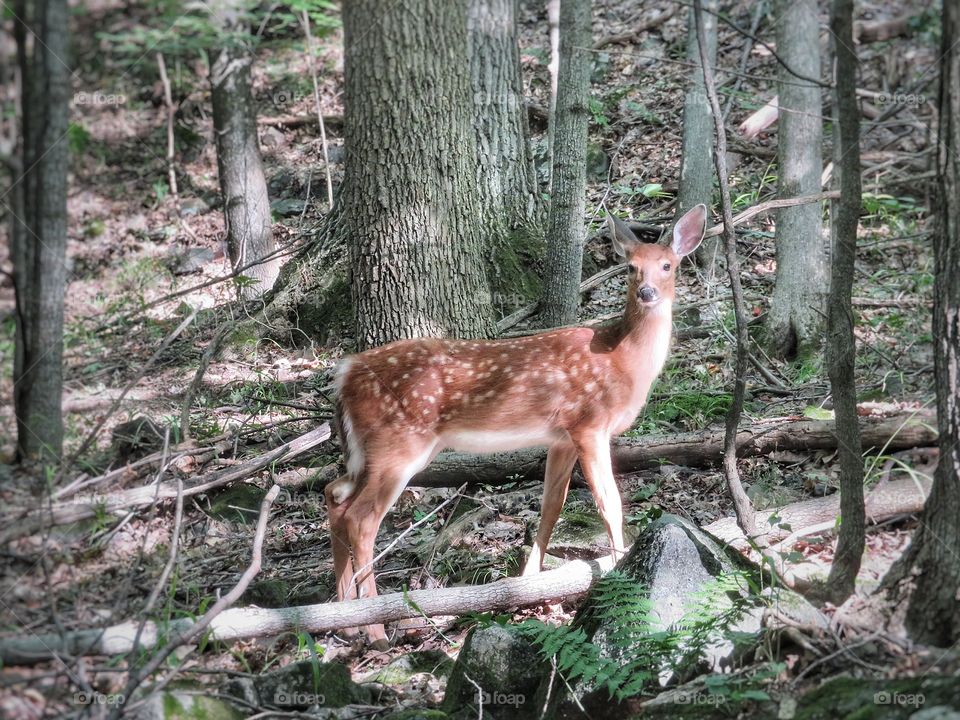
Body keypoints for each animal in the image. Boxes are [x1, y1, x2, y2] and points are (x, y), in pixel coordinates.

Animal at [326, 201, 708, 648]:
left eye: (667, 265)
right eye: (630, 267)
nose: (647, 292)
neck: (623, 360)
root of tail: (345, 373)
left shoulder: (561, 437)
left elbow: (551, 506)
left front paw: (528, 584)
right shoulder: (589, 423)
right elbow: (608, 501)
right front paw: (618, 562)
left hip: (366, 450)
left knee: (334, 495)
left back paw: (344, 621)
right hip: (398, 444)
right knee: (360, 518)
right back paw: (374, 629)